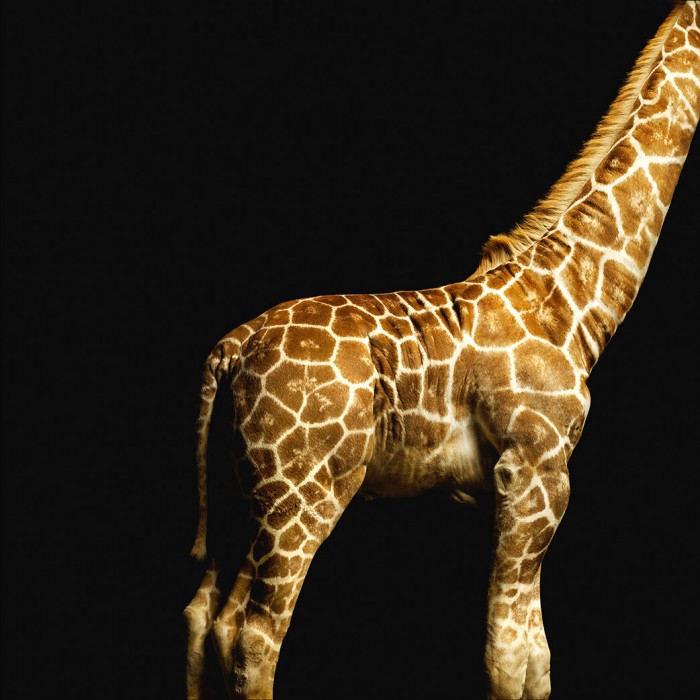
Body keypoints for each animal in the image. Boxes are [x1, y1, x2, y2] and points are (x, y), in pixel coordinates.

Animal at [184, 3, 699, 698]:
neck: (568, 299)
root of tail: (229, 350)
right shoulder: (533, 468)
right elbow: (506, 655)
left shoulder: (537, 479)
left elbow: (537, 658)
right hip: (303, 493)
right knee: (256, 635)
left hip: (241, 496)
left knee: (206, 617)